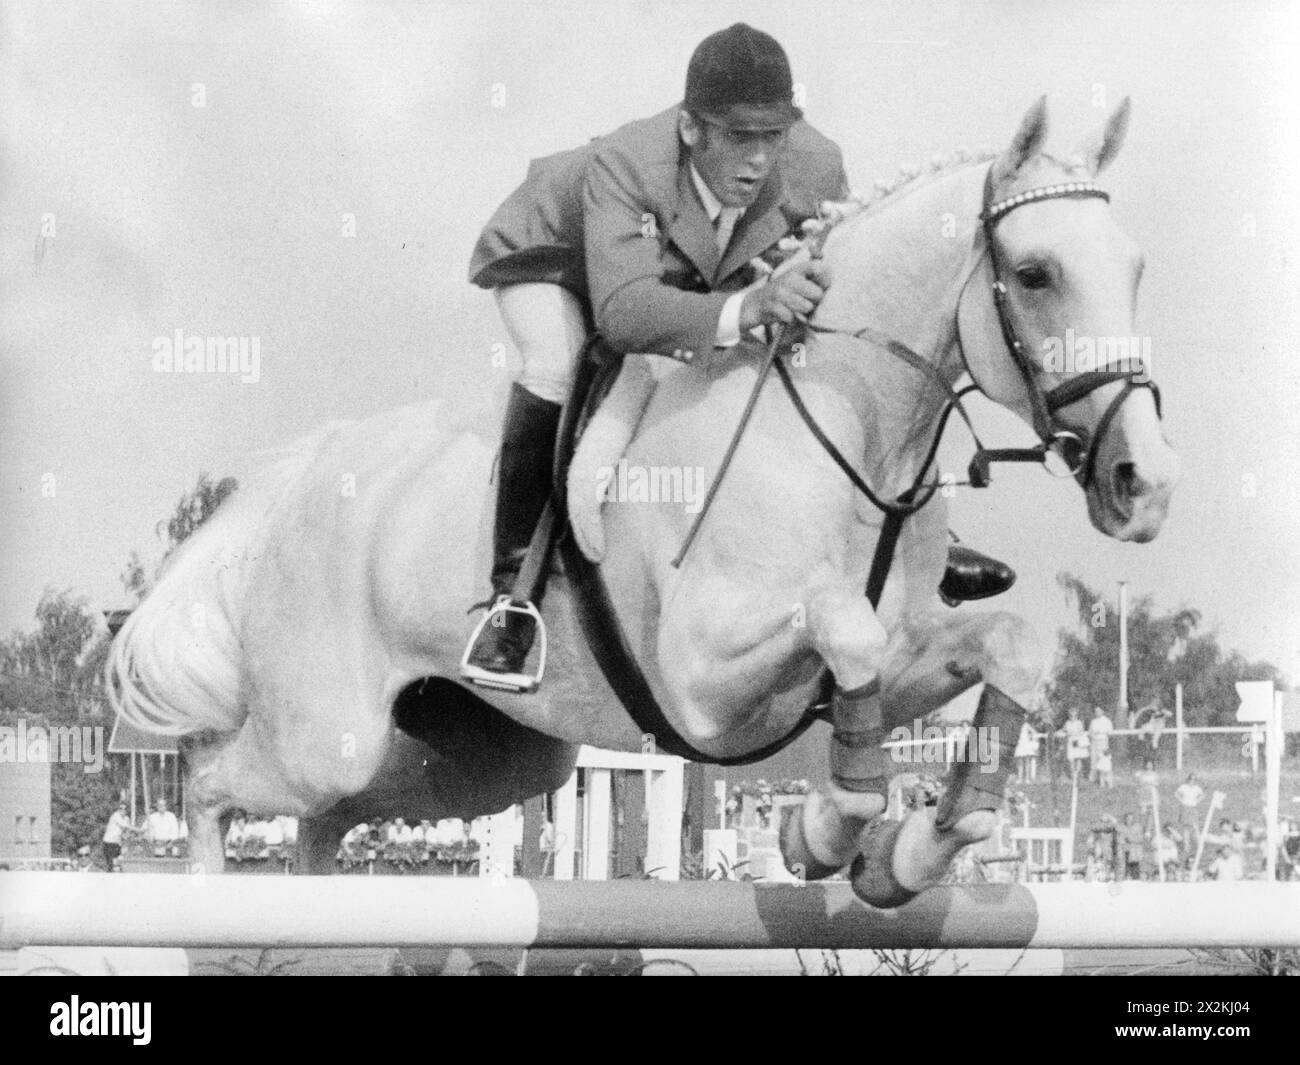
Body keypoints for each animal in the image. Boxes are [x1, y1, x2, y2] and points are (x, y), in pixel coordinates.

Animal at [106, 98, 1180, 899]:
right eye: (1035, 274)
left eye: (1136, 268)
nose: (1147, 484)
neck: (850, 425)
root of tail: (299, 482)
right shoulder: (704, 683)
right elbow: (847, 630)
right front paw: (826, 834)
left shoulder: (909, 649)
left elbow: (1006, 644)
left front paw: (918, 847)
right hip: (323, 734)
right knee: (212, 785)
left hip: (475, 760)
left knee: (328, 822)